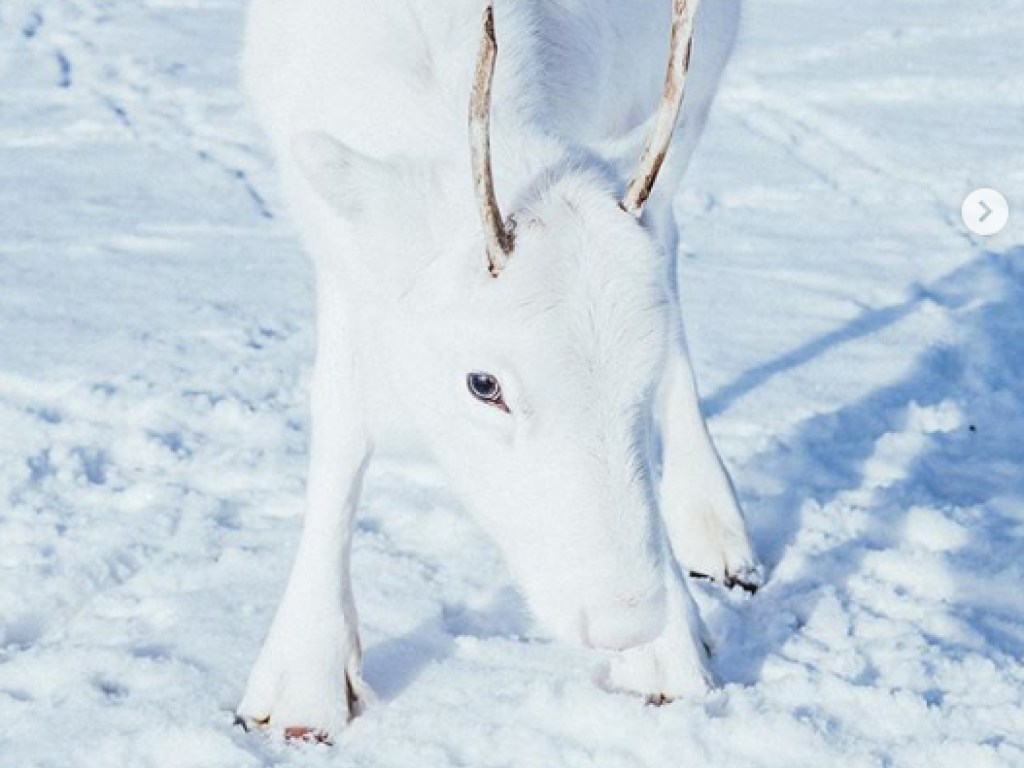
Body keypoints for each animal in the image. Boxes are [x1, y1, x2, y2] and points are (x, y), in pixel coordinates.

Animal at [234, 0, 761, 741]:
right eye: (484, 385)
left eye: (643, 370)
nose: (625, 621)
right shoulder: (343, 249)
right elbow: (339, 421)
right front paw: (305, 681)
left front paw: (669, 652)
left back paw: (714, 524)